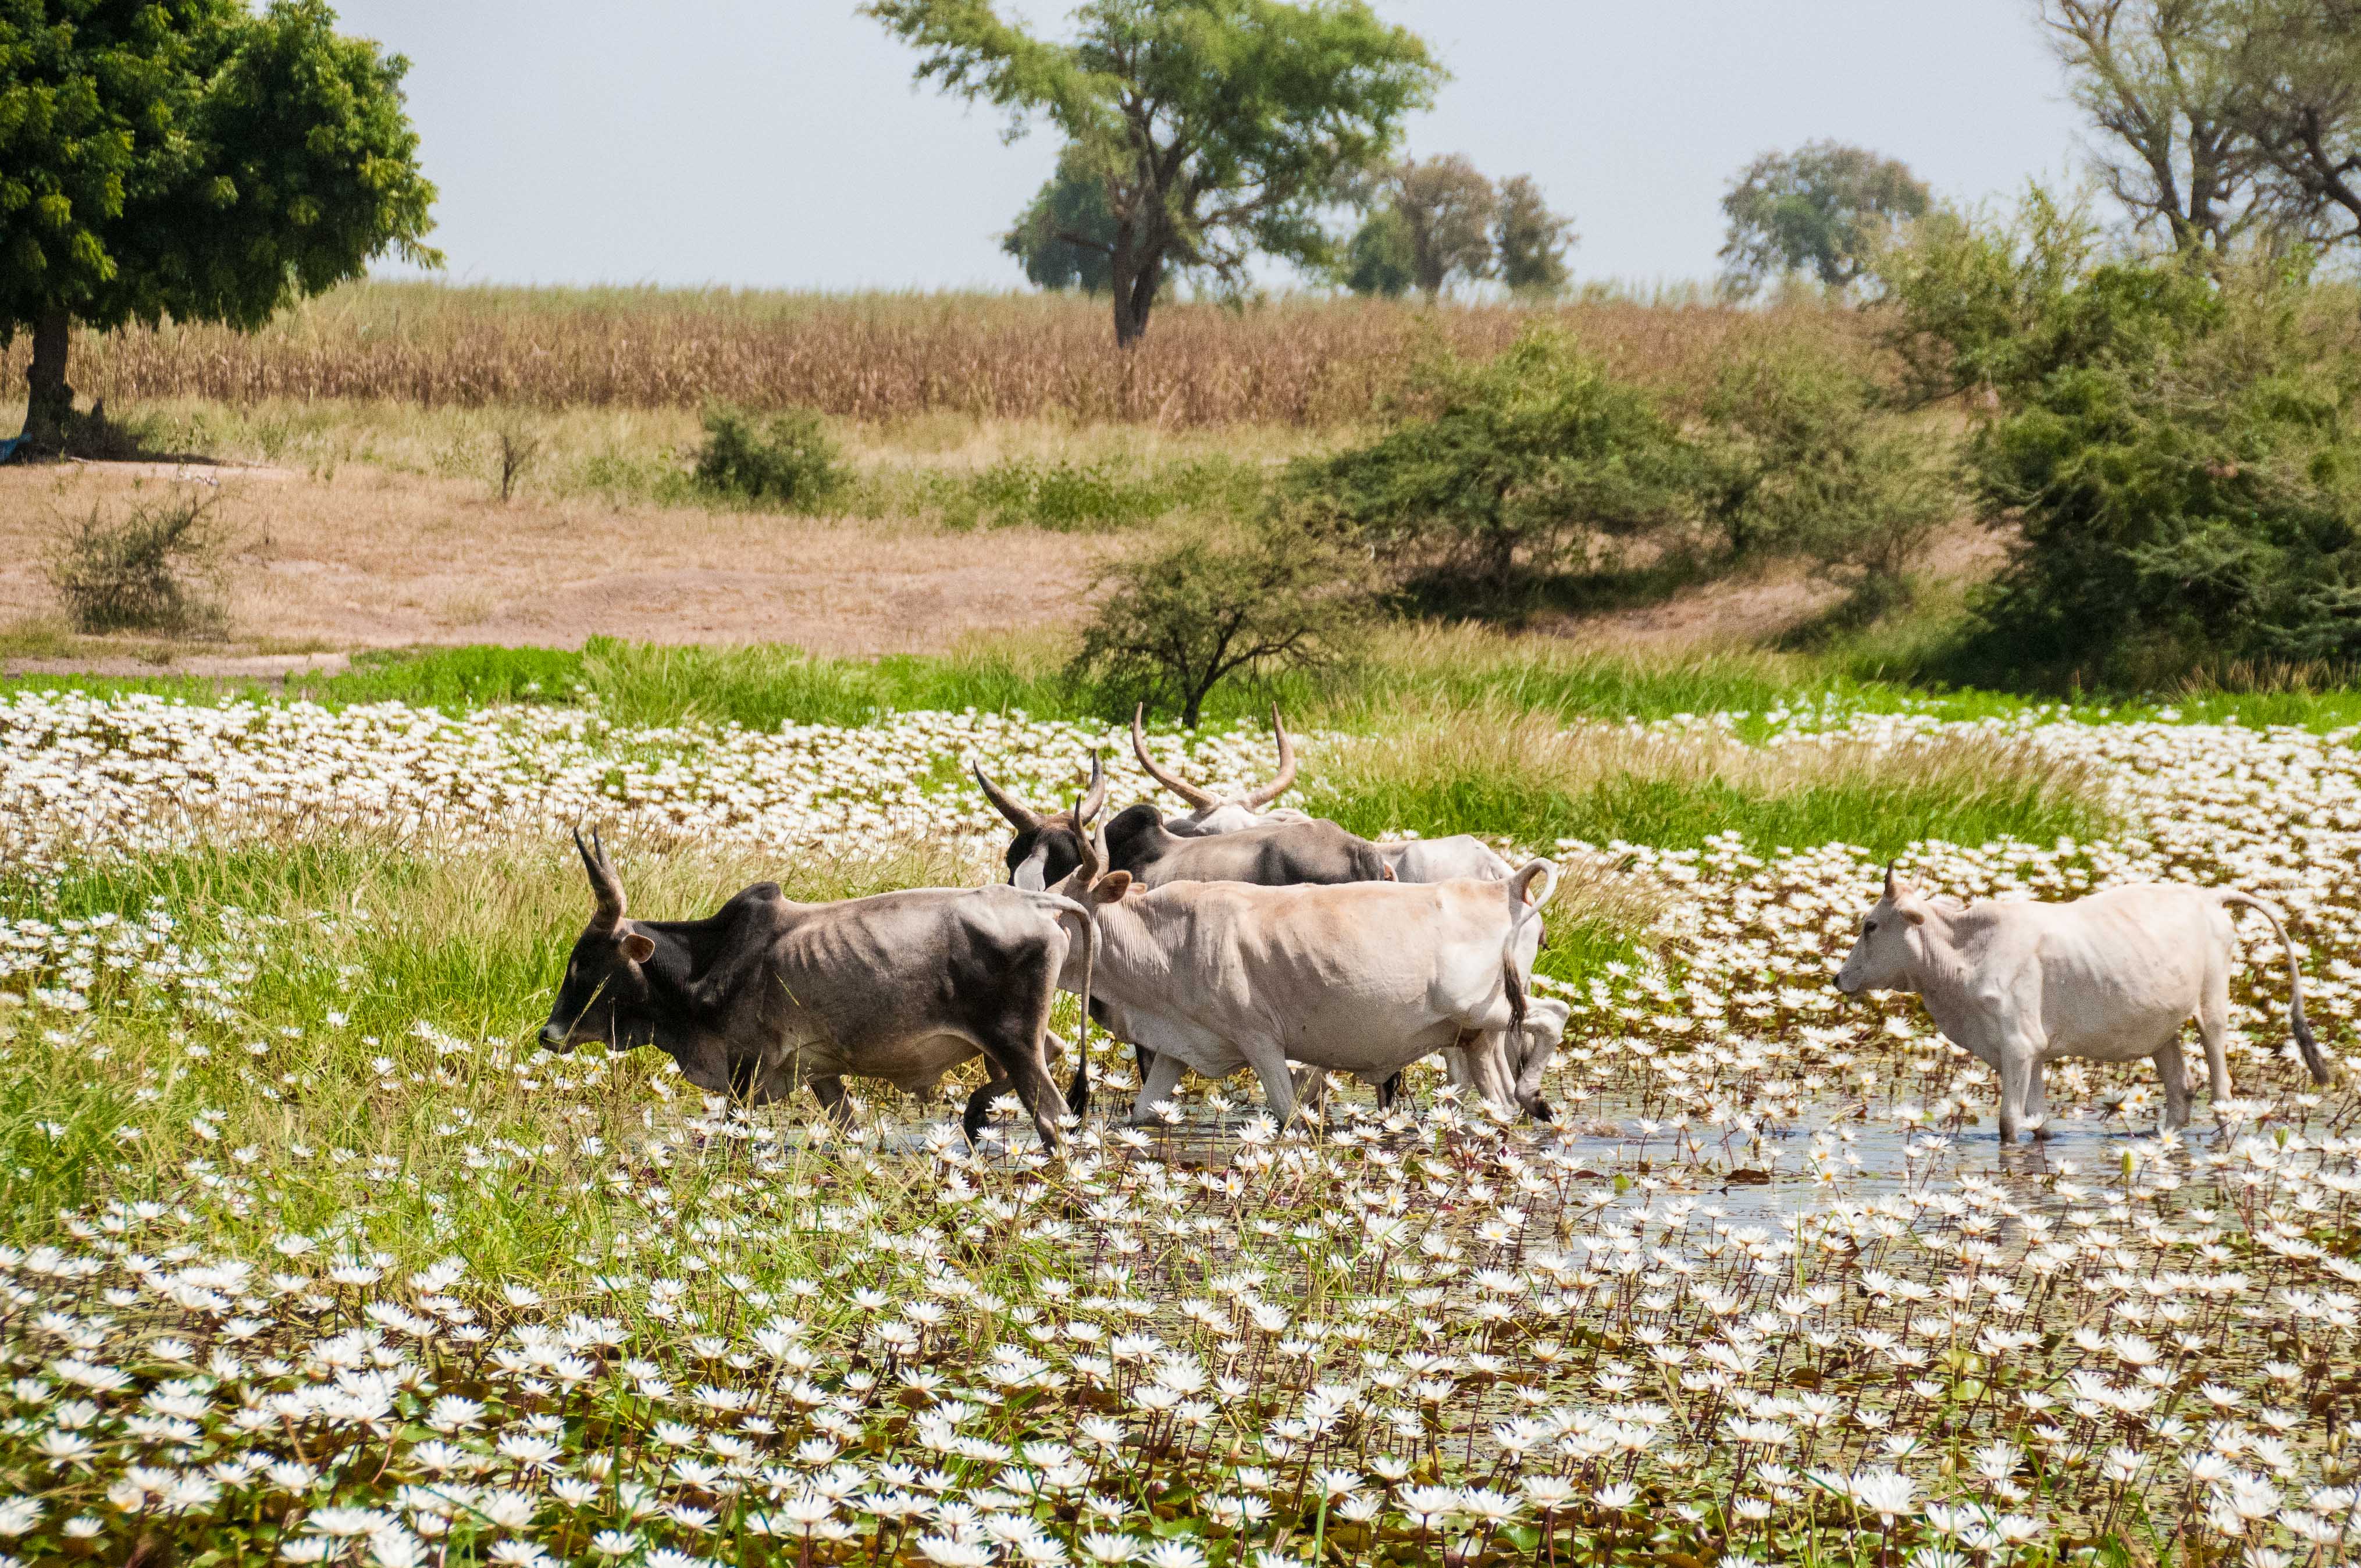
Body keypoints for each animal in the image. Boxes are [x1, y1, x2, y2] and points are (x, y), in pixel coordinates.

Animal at [1053, 826, 1548, 1119]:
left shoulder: (1260, 1040)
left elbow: (1287, 1112)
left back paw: (1532, 1096)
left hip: (1482, 1015)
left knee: (1543, 1027)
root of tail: (1505, 885)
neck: (1167, 936)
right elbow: (1141, 1112)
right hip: (1479, 1034)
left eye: (1061, 907)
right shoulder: (1178, 1047)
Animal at [1822, 869, 2323, 1138]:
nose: (1838, 978)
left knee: (2220, 1090)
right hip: (2162, 1028)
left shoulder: (2018, 1045)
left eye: (1870, 925)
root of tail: (2206, 895)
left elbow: (2008, 1122)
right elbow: (2037, 1121)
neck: (1966, 951)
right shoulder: (2029, 1054)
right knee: (2179, 1090)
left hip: (2212, 1011)